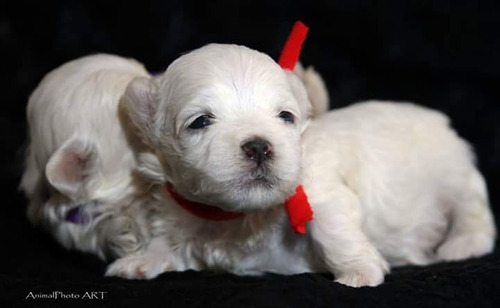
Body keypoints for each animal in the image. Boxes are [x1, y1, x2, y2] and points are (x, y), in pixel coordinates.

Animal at [107, 44, 494, 288]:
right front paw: (140, 261)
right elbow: (166, 241)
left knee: (474, 212)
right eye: (200, 121)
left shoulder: (322, 192)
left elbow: (336, 230)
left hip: (455, 176)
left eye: (285, 116)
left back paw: (463, 244)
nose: (259, 146)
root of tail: (439, 120)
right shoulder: (183, 214)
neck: (240, 217)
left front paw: (360, 272)